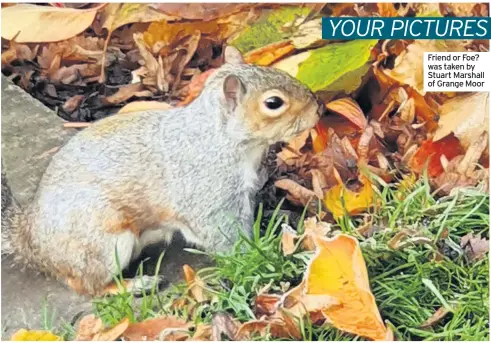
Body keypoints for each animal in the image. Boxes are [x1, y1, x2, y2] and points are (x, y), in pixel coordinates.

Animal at [1, 47, 324, 296]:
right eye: (273, 103)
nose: (318, 109)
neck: (221, 139)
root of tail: (30, 240)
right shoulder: (208, 191)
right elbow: (222, 234)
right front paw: (260, 257)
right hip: (102, 244)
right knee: (87, 286)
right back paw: (133, 285)